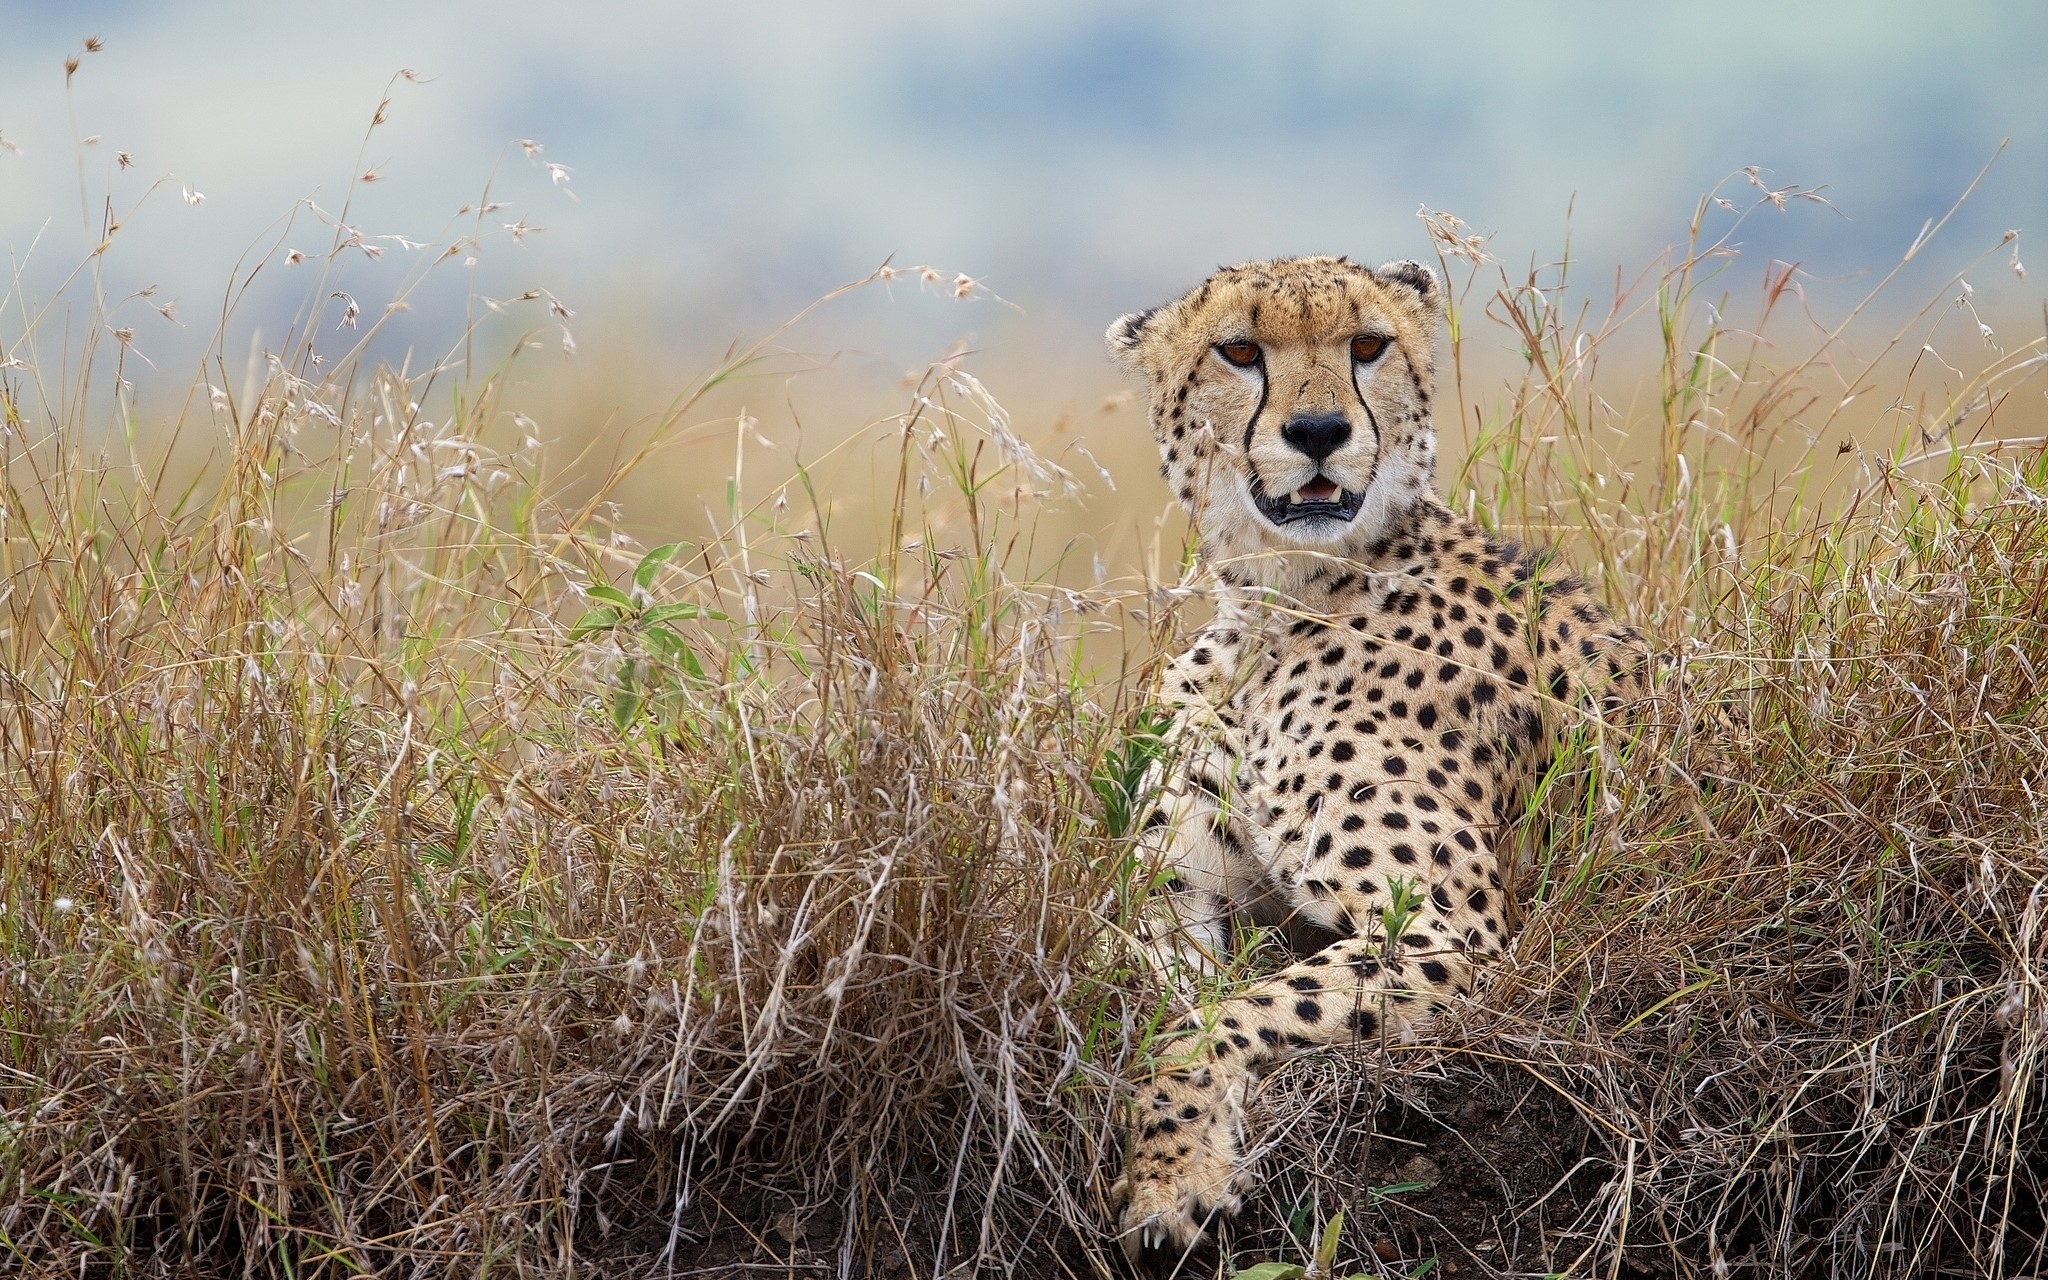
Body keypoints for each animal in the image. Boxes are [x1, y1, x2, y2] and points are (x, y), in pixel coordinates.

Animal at [1103, 255, 1651, 1264]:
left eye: (1367, 344)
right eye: (1239, 351)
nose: (1319, 431)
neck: (1278, 605)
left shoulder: (1450, 935)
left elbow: (1224, 1015)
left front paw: (1173, 1180)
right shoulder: (1171, 896)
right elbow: (1167, 997)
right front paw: (1180, 1160)